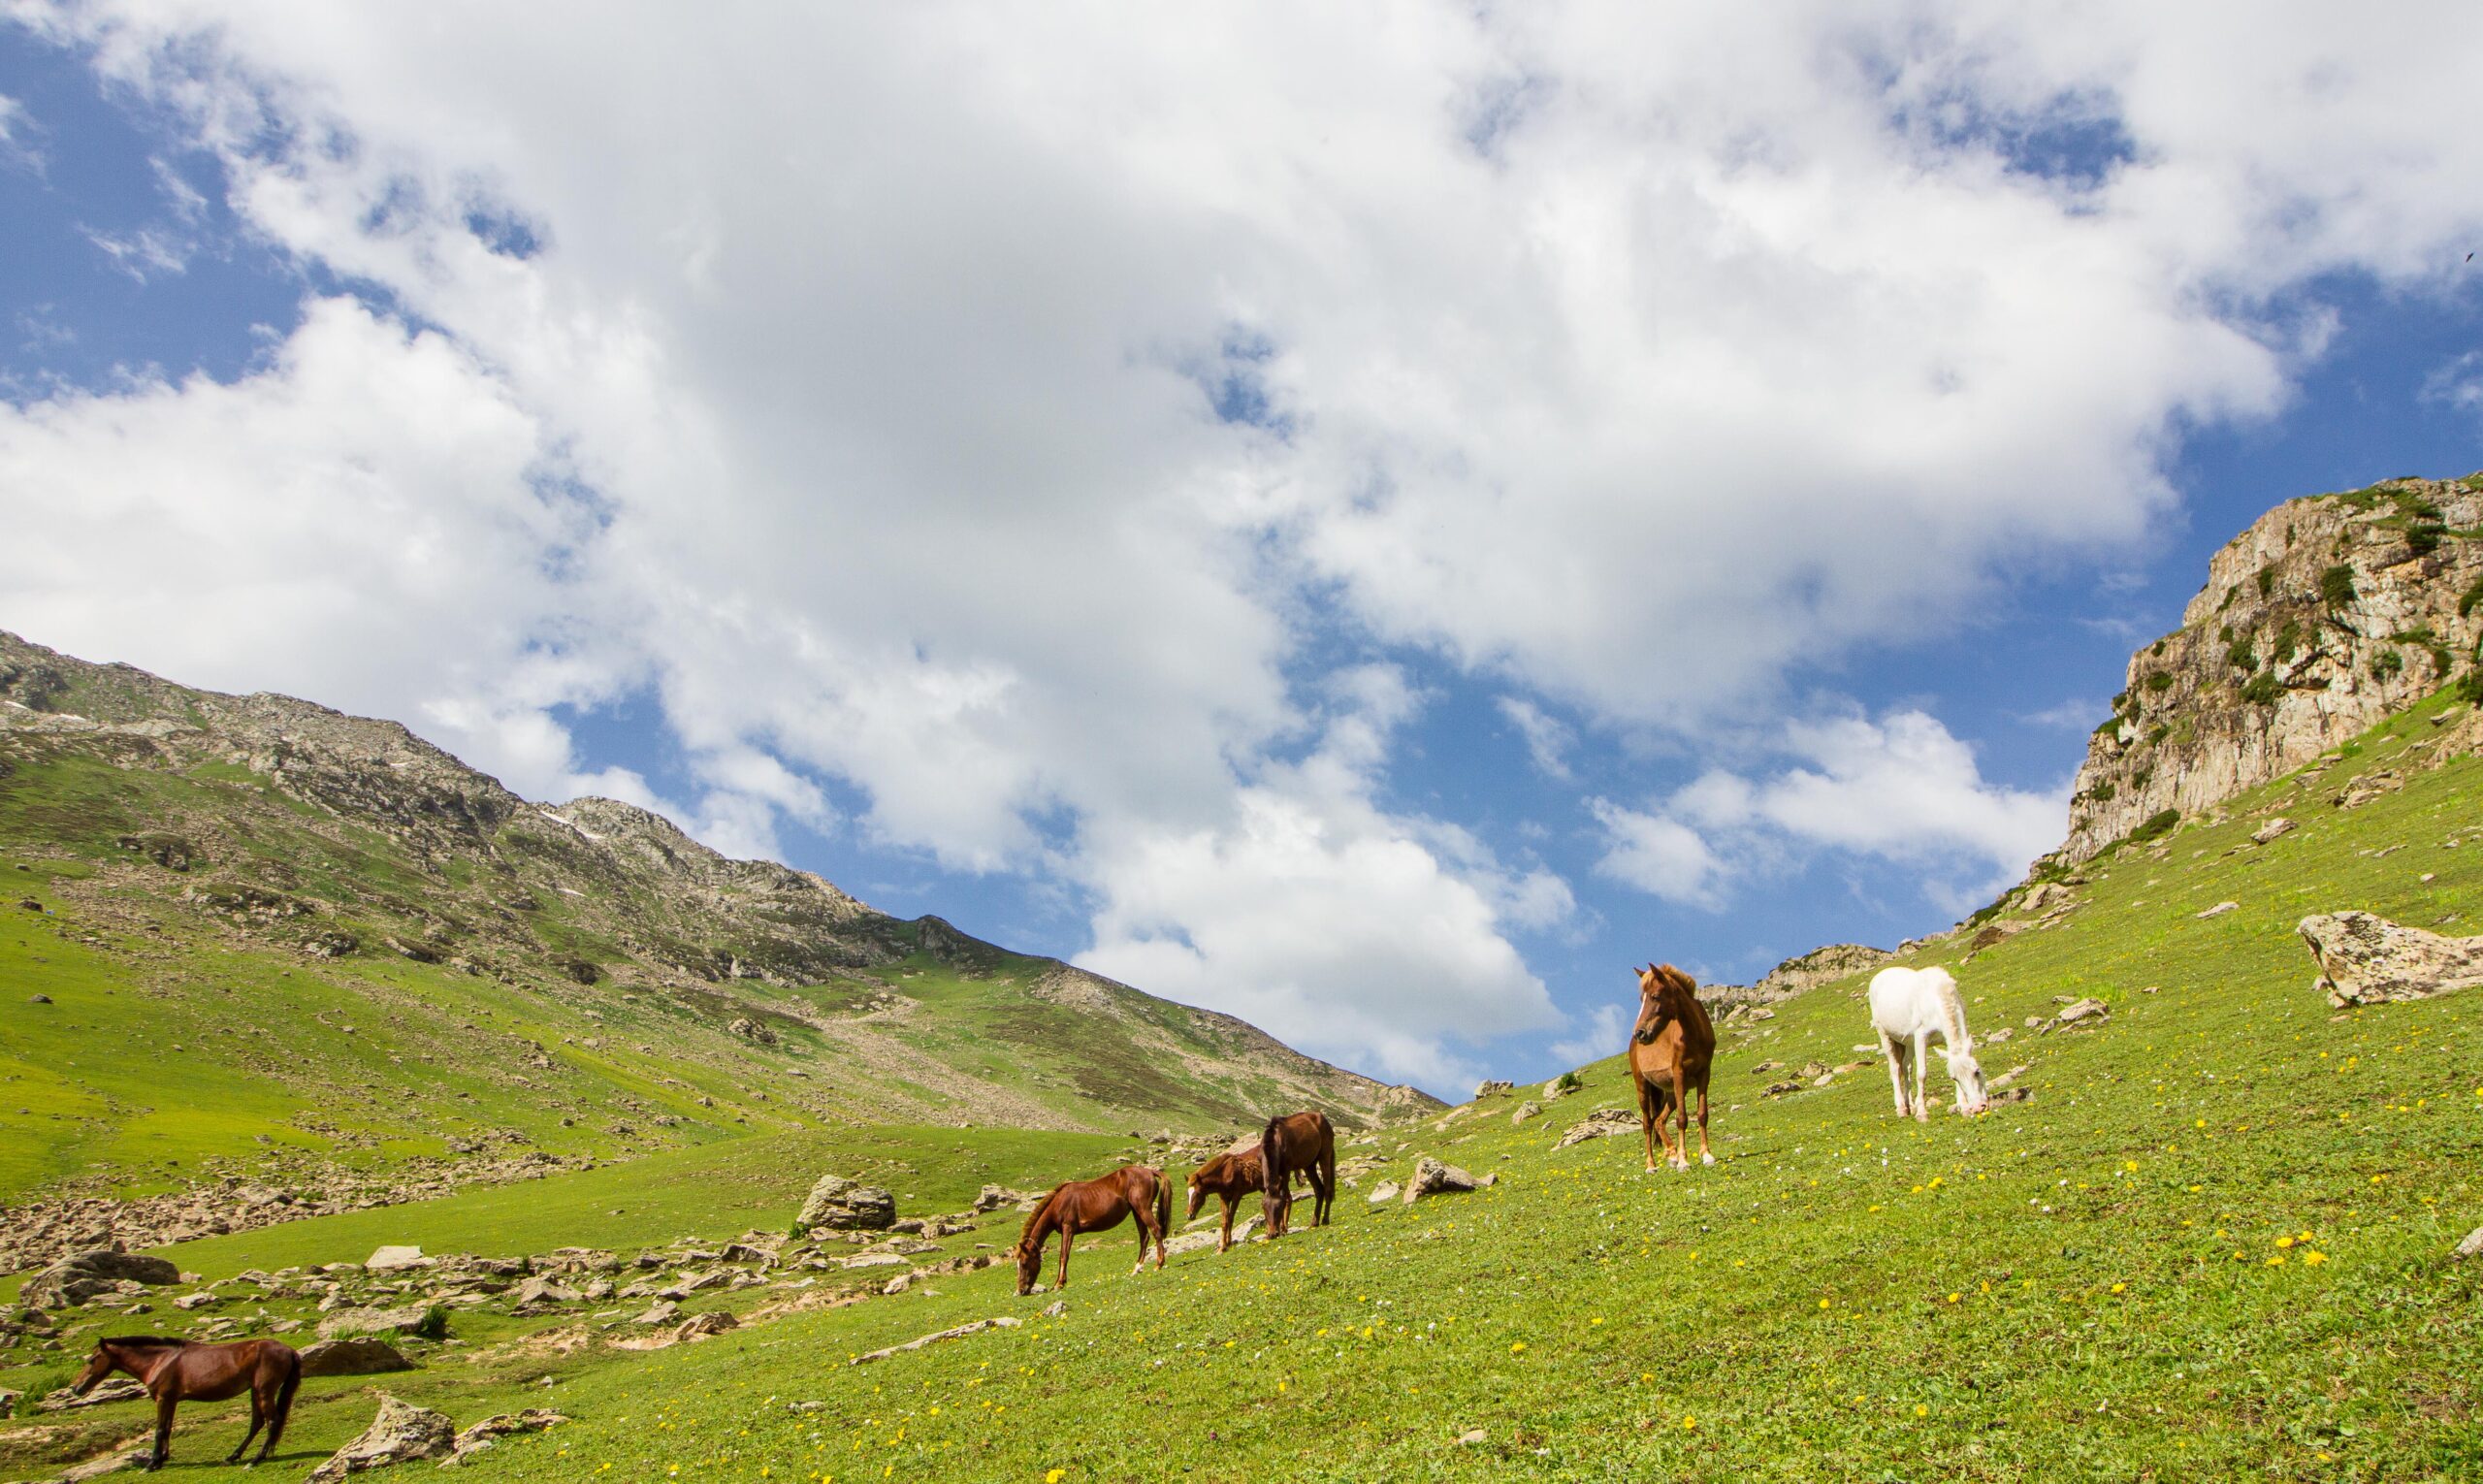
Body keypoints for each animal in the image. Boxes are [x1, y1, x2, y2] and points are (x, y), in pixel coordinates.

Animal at [70, 1339, 300, 1478]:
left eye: (92, 1360)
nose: (75, 1388)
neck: (161, 1361)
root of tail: (288, 1349)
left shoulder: (164, 1399)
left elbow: (159, 1430)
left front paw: (151, 1464)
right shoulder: (171, 1400)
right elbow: (167, 1429)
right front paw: (161, 1460)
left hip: (264, 1391)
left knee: (272, 1421)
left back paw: (255, 1460)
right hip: (255, 1391)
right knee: (257, 1423)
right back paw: (232, 1457)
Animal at [1008, 1171, 1172, 1300]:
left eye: (1024, 1263)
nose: (1021, 1291)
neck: (1059, 1202)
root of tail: (1149, 1171)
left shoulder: (1068, 1229)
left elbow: (1063, 1256)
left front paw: (1059, 1284)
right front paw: (1057, 1283)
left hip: (1143, 1210)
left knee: (1156, 1231)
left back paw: (1158, 1264)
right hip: (1136, 1212)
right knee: (1144, 1237)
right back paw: (1137, 1269)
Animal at [1261, 1116, 1340, 1245]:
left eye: (1279, 1208)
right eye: (1264, 1208)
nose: (1272, 1234)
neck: (1275, 1141)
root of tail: (1323, 1118)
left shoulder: (1286, 1171)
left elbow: (1286, 1198)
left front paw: (1283, 1229)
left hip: (1325, 1156)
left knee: (1327, 1189)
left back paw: (1325, 1219)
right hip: (1309, 1165)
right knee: (1319, 1190)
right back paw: (1314, 1222)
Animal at [1619, 972, 1718, 1180]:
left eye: (1655, 996)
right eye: (1641, 998)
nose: (1640, 1032)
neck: (1693, 1032)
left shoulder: (1704, 1074)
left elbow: (1702, 1114)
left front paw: (1706, 1155)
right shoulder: (1679, 1074)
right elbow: (1682, 1119)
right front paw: (1684, 1161)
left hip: (1673, 1093)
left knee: (1659, 1120)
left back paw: (1672, 1153)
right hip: (1643, 1088)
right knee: (1648, 1123)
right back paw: (1651, 1165)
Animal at [1867, 972, 1986, 1121]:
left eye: (1977, 1071)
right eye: (1955, 1078)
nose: (1978, 1107)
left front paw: (1964, 1108)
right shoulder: (1920, 1038)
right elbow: (1921, 1074)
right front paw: (1922, 1114)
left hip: (1908, 1042)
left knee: (1906, 1067)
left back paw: (1910, 1106)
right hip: (1885, 1035)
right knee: (1895, 1068)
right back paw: (1901, 1108)